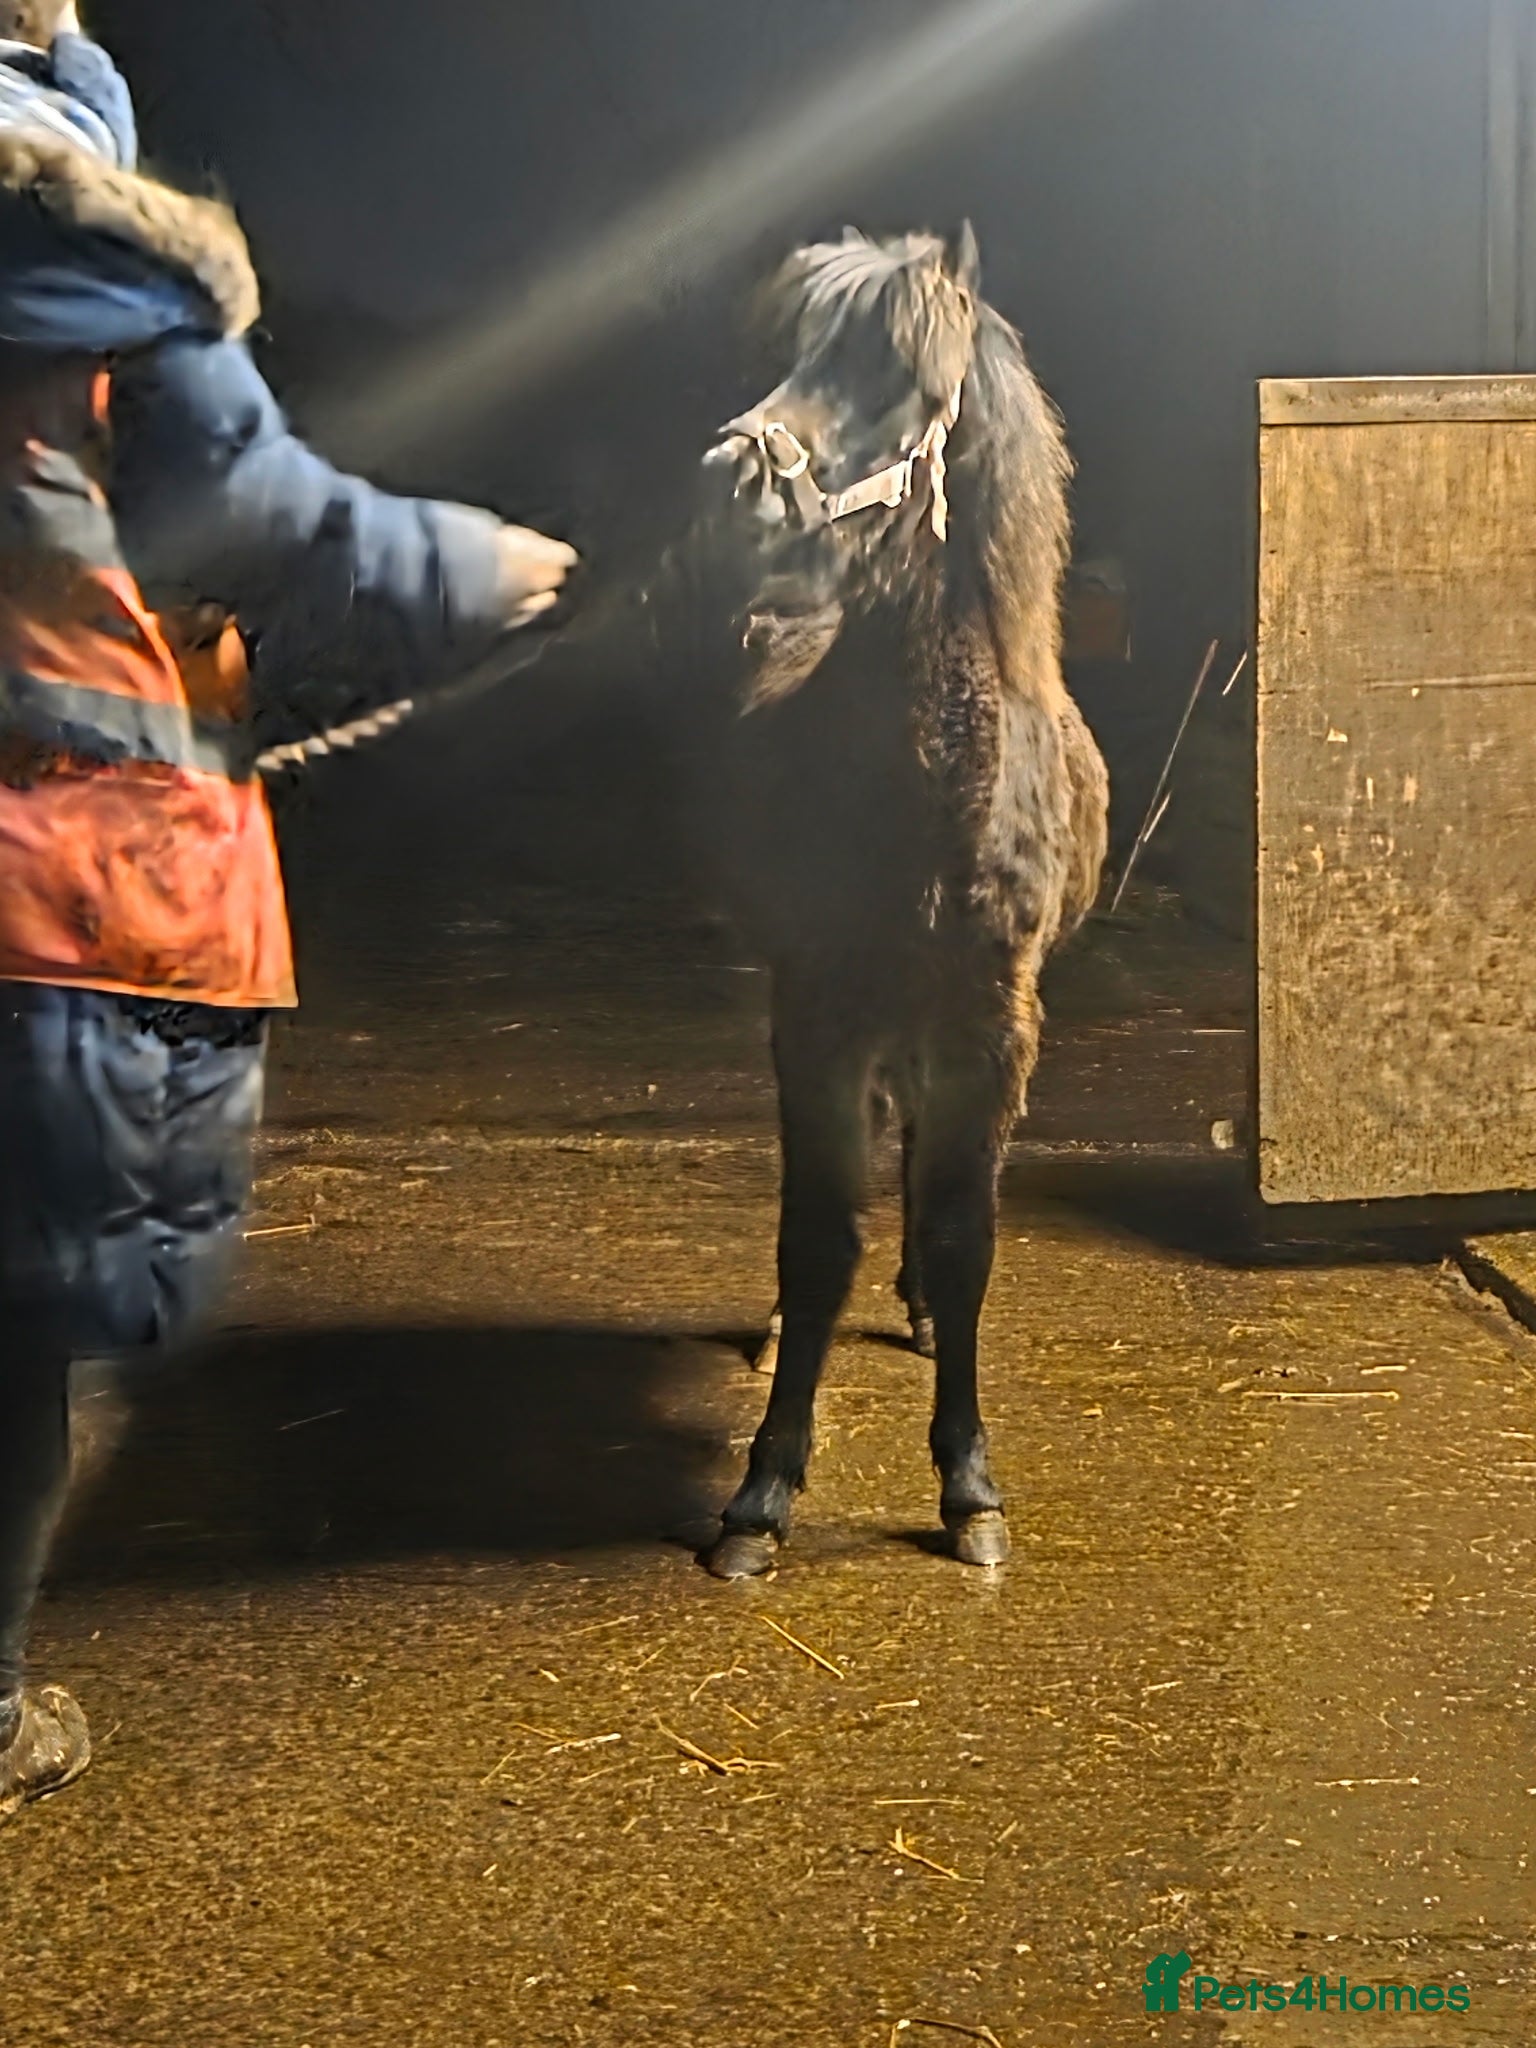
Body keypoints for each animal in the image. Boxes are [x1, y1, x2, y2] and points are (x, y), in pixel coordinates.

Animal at [646, 224, 1109, 1577]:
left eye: (906, 382)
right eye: (797, 351)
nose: (729, 481)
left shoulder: (993, 1027)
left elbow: (962, 1238)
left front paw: (969, 1486)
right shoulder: (820, 1013)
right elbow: (817, 1239)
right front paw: (761, 1493)